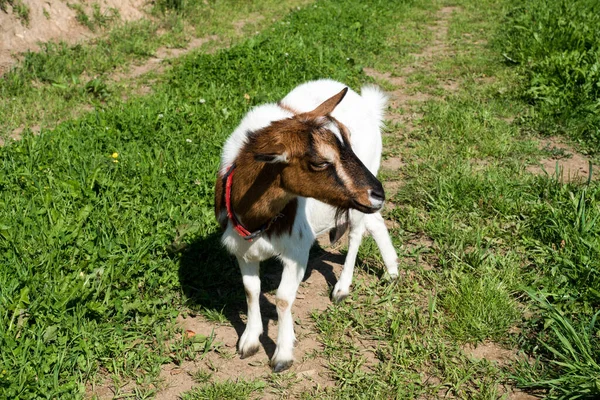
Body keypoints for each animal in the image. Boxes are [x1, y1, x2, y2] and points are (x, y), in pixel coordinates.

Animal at [216, 78, 398, 372]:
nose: (378, 193)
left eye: (348, 143)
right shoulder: (242, 248)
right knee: (376, 221)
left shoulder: (297, 251)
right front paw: (249, 341)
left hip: (361, 196)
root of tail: (368, 105)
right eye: (319, 162)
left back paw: (342, 288)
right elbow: (251, 290)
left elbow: (282, 298)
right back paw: (392, 271)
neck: (257, 217)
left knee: (357, 234)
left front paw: (282, 355)